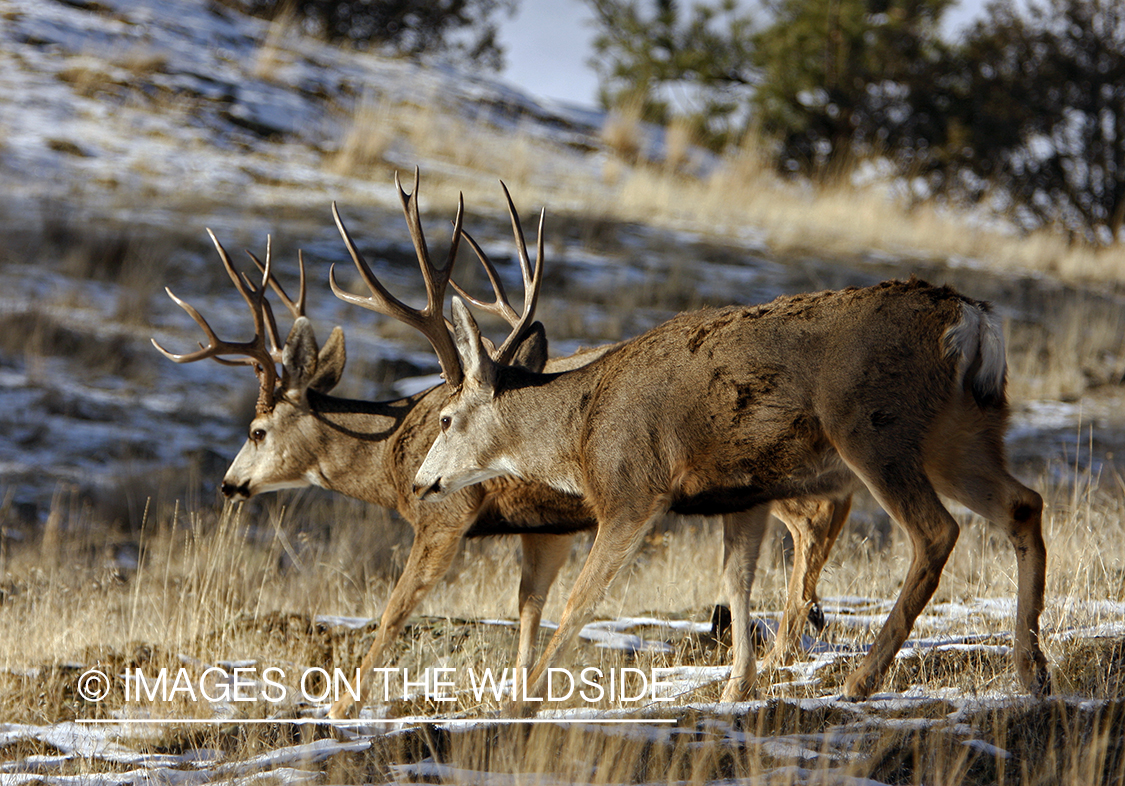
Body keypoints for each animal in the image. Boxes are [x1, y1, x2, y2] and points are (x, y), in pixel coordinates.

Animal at [413, 268, 1051, 709]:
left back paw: (861, 681)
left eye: (445, 418)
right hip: (960, 433)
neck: (581, 428)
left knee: (936, 530)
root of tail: (972, 319)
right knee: (1023, 503)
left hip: (874, 426)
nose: (421, 483)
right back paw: (1032, 669)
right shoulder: (744, 494)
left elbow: (580, 601)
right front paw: (737, 688)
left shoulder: (632, 491)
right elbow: (736, 583)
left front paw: (523, 704)